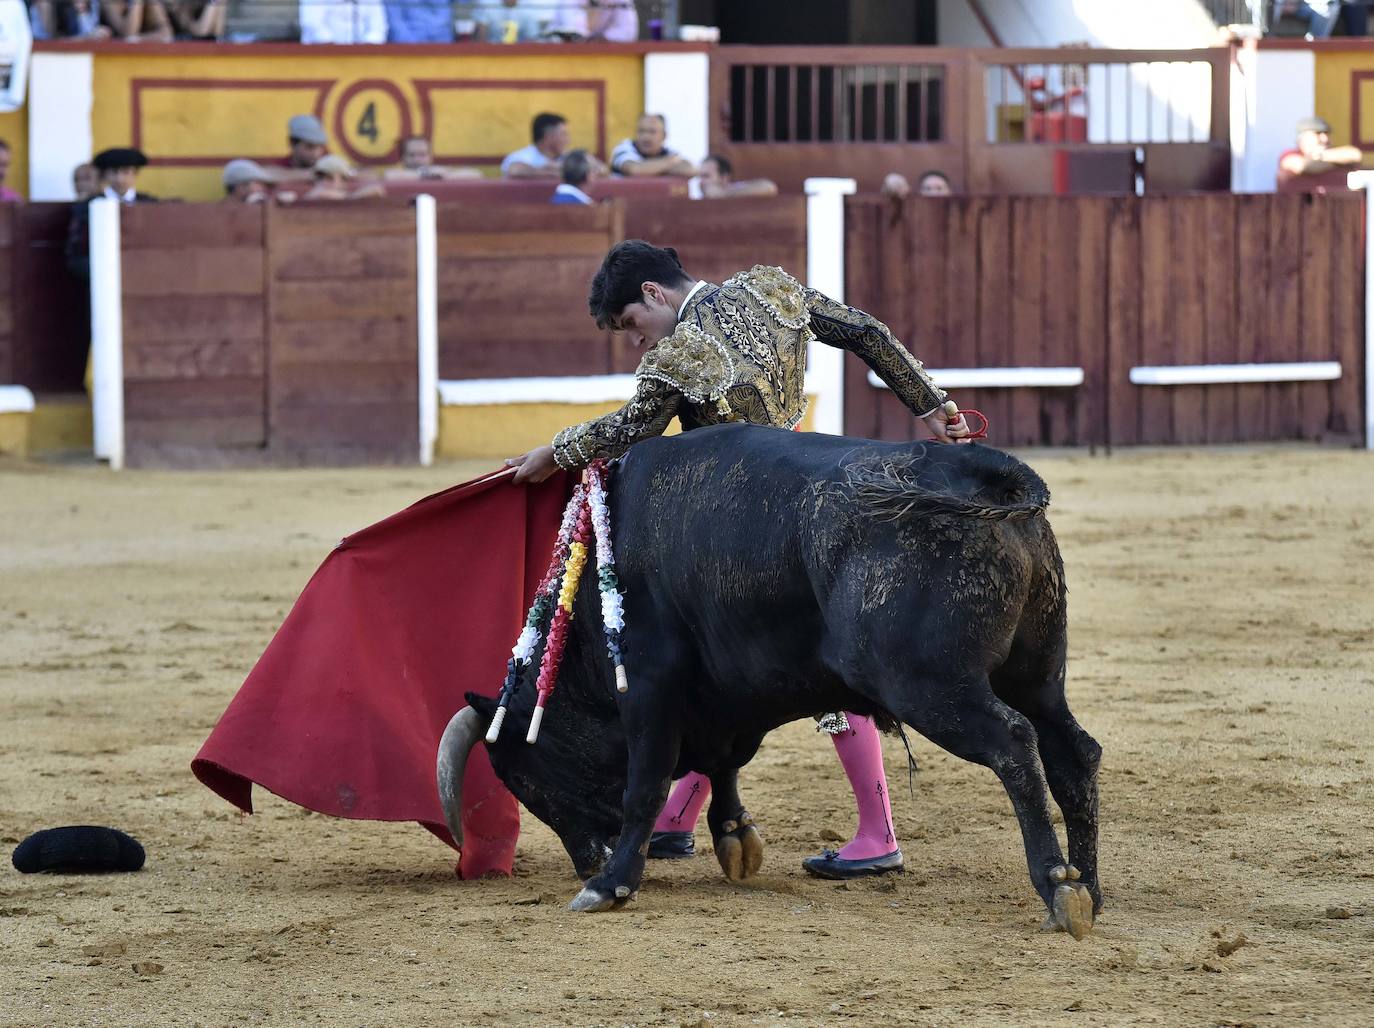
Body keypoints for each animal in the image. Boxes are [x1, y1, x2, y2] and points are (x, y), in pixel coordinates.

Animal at [442, 426, 1104, 940]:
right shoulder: (725, 698)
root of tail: (988, 472)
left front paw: (612, 884)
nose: (586, 863)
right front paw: (733, 835)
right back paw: (1088, 887)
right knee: (1073, 752)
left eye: (520, 777)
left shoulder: (650, 687)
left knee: (1014, 745)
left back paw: (1055, 886)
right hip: (1037, 676)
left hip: (926, 685)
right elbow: (721, 764)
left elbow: (646, 784)